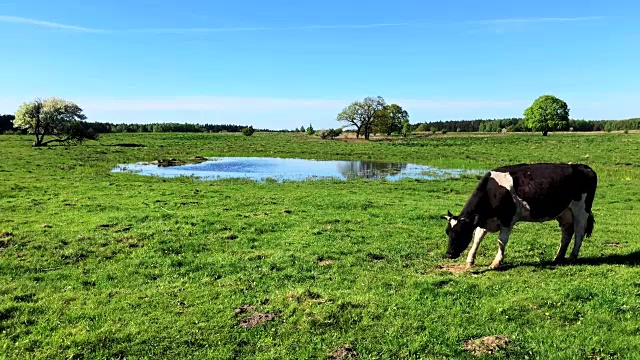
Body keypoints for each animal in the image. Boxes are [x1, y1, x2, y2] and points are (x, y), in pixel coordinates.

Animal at [442, 162, 596, 268]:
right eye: (448, 232)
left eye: (461, 232)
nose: (449, 254)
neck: (492, 191)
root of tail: (583, 166)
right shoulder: (484, 220)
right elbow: (477, 238)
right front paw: (470, 261)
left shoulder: (507, 219)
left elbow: (501, 241)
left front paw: (496, 262)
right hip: (565, 213)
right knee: (566, 233)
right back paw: (558, 257)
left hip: (581, 210)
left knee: (579, 232)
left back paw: (572, 257)